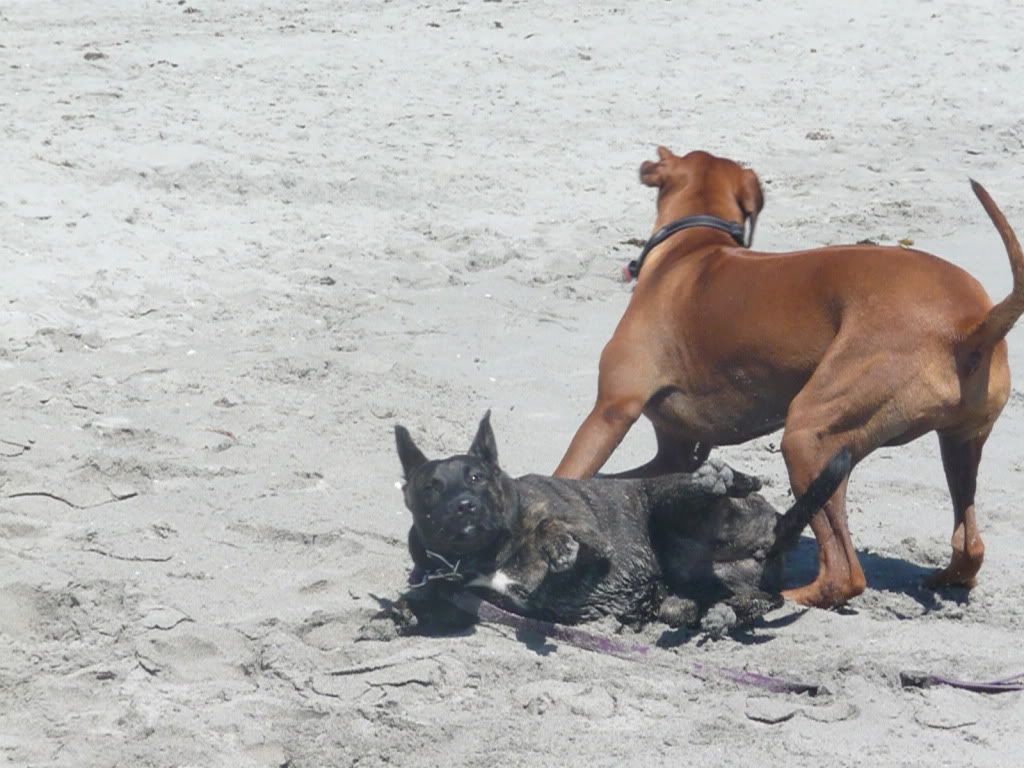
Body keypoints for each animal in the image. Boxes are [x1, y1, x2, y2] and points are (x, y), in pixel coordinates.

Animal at [552, 147, 1024, 610]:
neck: (692, 247)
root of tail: (970, 322)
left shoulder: (612, 410)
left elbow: (571, 472)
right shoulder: (675, 454)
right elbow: (615, 483)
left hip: (807, 436)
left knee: (844, 573)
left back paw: (787, 594)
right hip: (959, 445)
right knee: (970, 546)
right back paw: (944, 578)